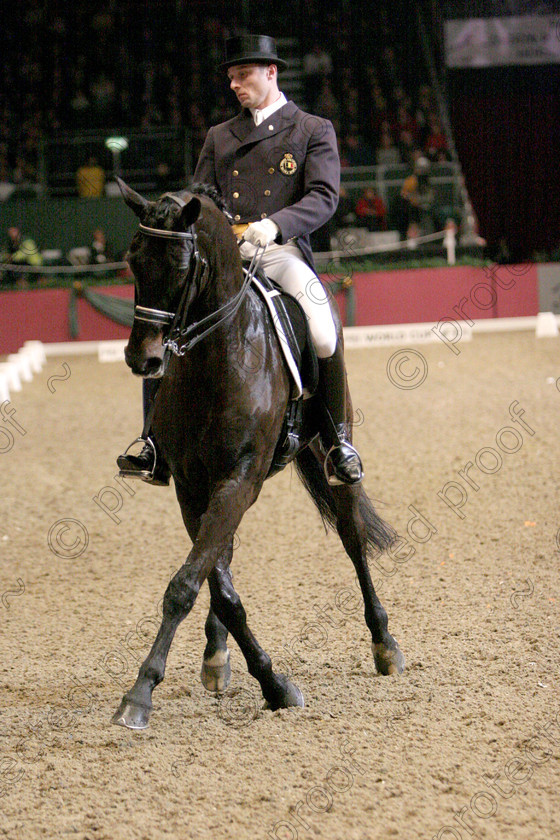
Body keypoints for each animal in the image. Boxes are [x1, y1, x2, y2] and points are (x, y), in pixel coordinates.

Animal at [111, 179, 404, 728]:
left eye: (182, 267)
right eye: (132, 261)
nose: (145, 360)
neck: (217, 358)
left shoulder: (240, 479)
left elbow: (186, 584)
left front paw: (139, 694)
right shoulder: (193, 487)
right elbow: (218, 587)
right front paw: (269, 681)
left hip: (329, 454)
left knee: (353, 540)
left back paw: (385, 644)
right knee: (222, 557)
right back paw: (215, 656)